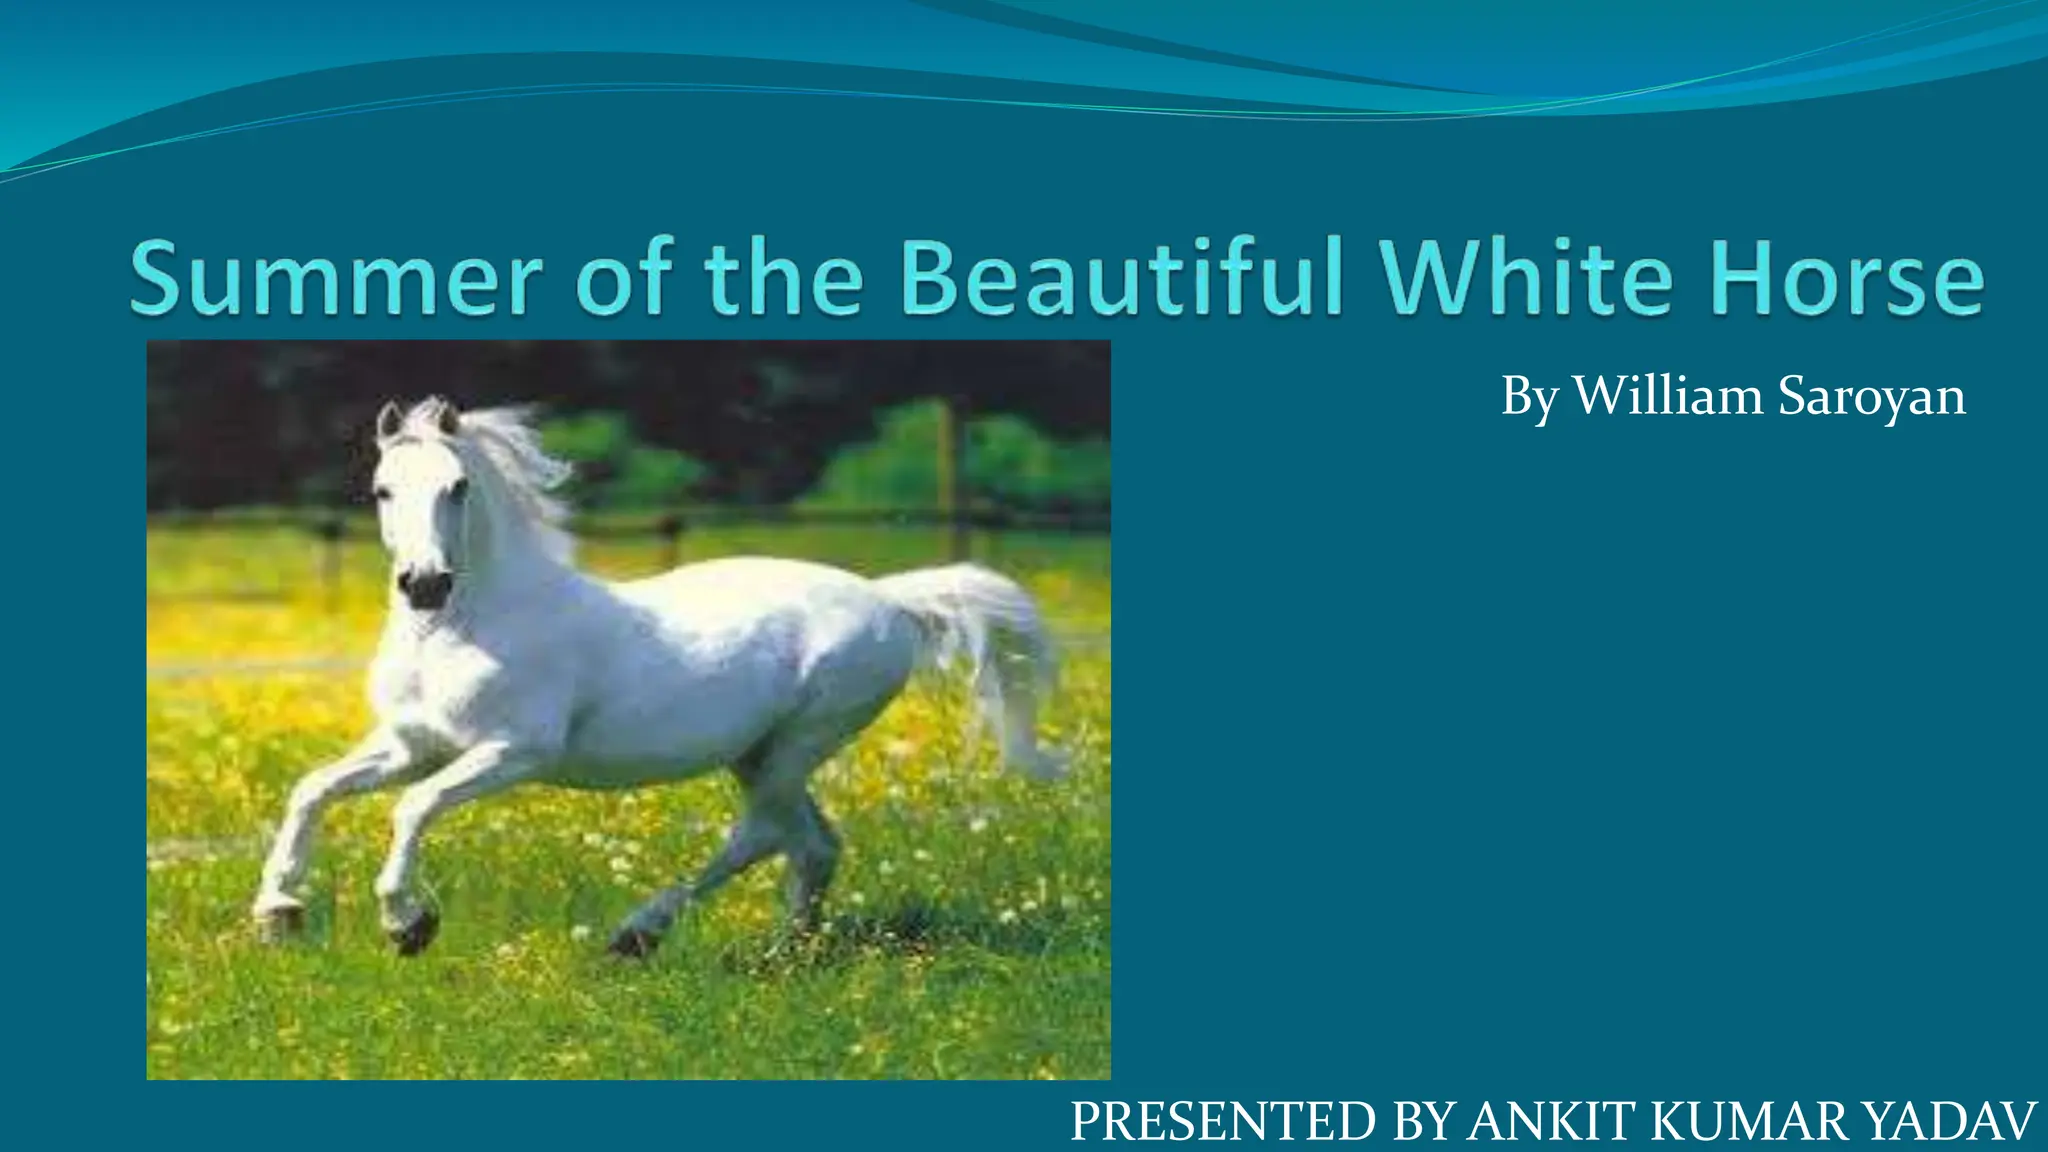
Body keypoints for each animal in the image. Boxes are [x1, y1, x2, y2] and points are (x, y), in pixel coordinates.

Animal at [249, 397, 1066, 958]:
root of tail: (890, 600)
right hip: (759, 754)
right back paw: (785, 953)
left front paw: (407, 924)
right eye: (382, 490)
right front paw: (278, 912)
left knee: (764, 834)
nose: (424, 585)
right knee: (812, 845)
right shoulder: (414, 744)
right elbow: (312, 789)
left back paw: (638, 933)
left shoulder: (513, 752)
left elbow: (412, 808)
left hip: (798, 741)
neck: (465, 628)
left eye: (457, 486)